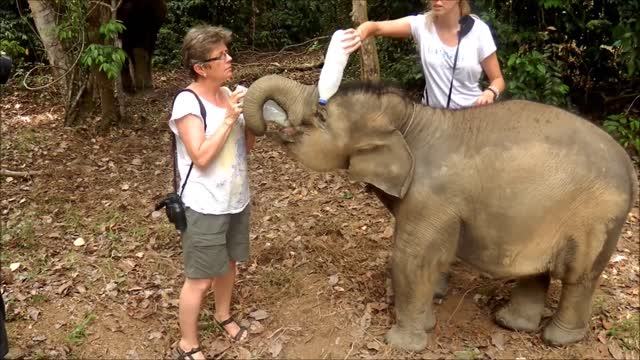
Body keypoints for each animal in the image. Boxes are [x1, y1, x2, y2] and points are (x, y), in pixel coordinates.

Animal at [241, 75, 640, 352]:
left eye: (321, 115)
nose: (264, 125)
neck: (413, 118)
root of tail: (630, 167)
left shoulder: (431, 197)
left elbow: (411, 258)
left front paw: (401, 344)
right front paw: (427, 319)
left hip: (596, 218)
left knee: (579, 277)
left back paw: (558, 340)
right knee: (538, 270)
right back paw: (510, 324)